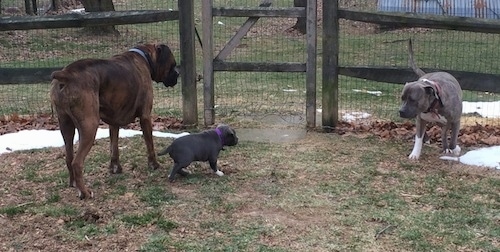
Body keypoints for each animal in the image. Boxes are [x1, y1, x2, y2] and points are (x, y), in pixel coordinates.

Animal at [48, 44, 181, 200]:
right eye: (173, 64)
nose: (177, 74)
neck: (144, 56)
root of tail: (66, 74)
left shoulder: (113, 123)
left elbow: (114, 146)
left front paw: (115, 168)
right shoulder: (145, 117)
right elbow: (150, 144)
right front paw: (154, 165)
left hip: (65, 126)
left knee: (69, 158)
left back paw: (73, 184)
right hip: (89, 126)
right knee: (77, 162)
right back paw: (85, 192)